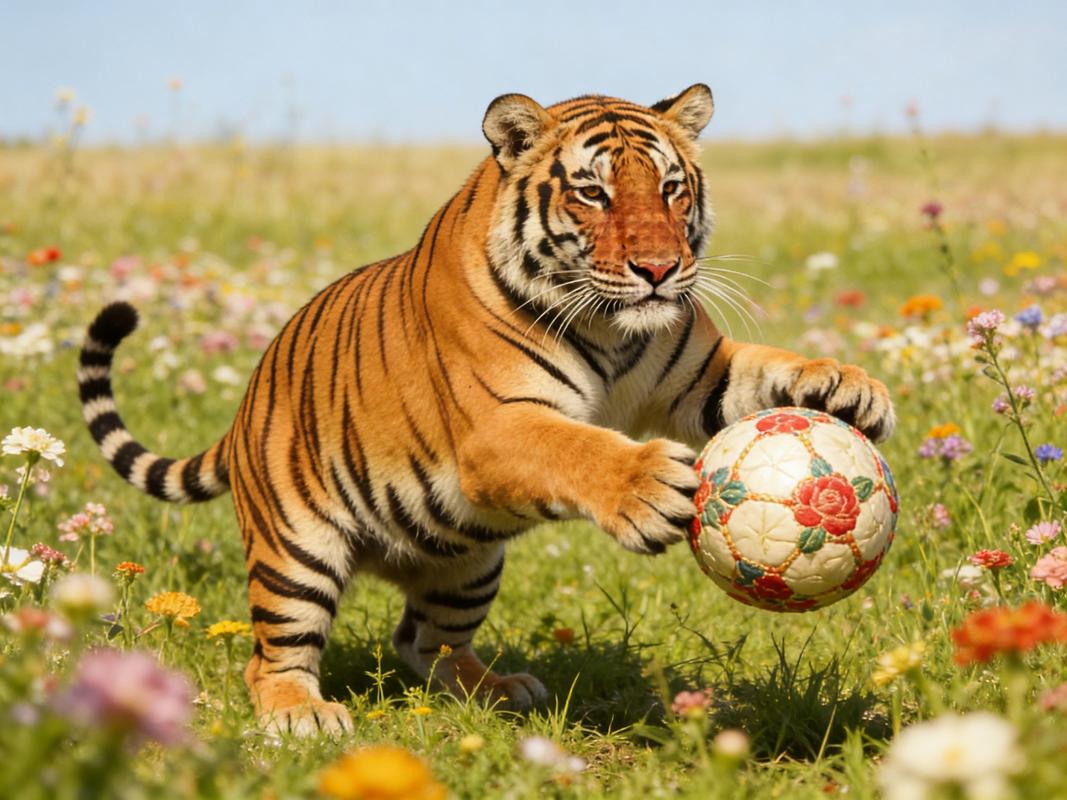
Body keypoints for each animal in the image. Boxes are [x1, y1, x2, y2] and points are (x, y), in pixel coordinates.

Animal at [78, 84, 894, 736]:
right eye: (593, 193)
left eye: (670, 188)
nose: (660, 270)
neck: (610, 327)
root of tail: (245, 408)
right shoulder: (497, 426)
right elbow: (575, 448)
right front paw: (647, 486)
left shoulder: (698, 378)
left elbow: (769, 372)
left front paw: (846, 384)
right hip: (294, 552)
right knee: (270, 656)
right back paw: (300, 715)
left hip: (467, 563)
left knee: (426, 644)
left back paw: (500, 689)